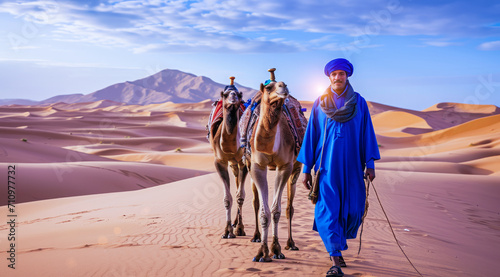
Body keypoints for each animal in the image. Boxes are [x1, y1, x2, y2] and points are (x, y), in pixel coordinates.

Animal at [207, 75, 248, 237]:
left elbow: (240, 196)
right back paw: (233, 222)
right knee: (236, 180)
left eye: (239, 95)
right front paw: (227, 230)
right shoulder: (219, 162)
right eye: (224, 95)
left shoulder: (244, 161)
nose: (233, 97)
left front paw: (240, 228)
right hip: (232, 163)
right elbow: (227, 198)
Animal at [243, 68, 304, 260]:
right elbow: (264, 211)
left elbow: (276, 210)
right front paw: (262, 252)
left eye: (284, 84)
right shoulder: (257, 167)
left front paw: (275, 249)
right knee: (256, 202)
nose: (283, 87)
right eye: (269, 88)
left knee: (289, 207)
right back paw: (255, 236)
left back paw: (291, 243)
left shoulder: (284, 167)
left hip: (296, 168)